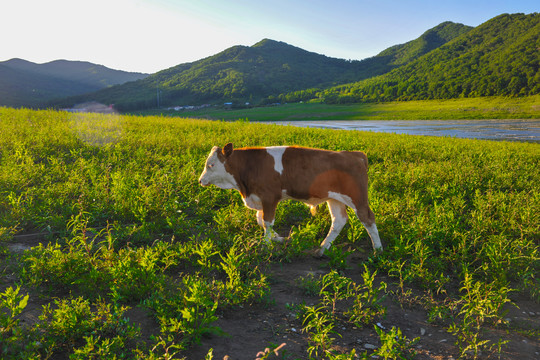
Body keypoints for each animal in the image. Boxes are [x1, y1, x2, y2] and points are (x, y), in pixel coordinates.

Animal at [197, 143, 380, 256]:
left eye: (211, 165)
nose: (200, 180)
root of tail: (354, 155)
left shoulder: (270, 197)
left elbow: (267, 222)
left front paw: (265, 245)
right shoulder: (260, 199)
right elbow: (260, 220)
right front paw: (277, 238)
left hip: (357, 198)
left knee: (368, 218)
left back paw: (378, 250)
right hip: (334, 198)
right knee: (339, 220)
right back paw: (322, 249)